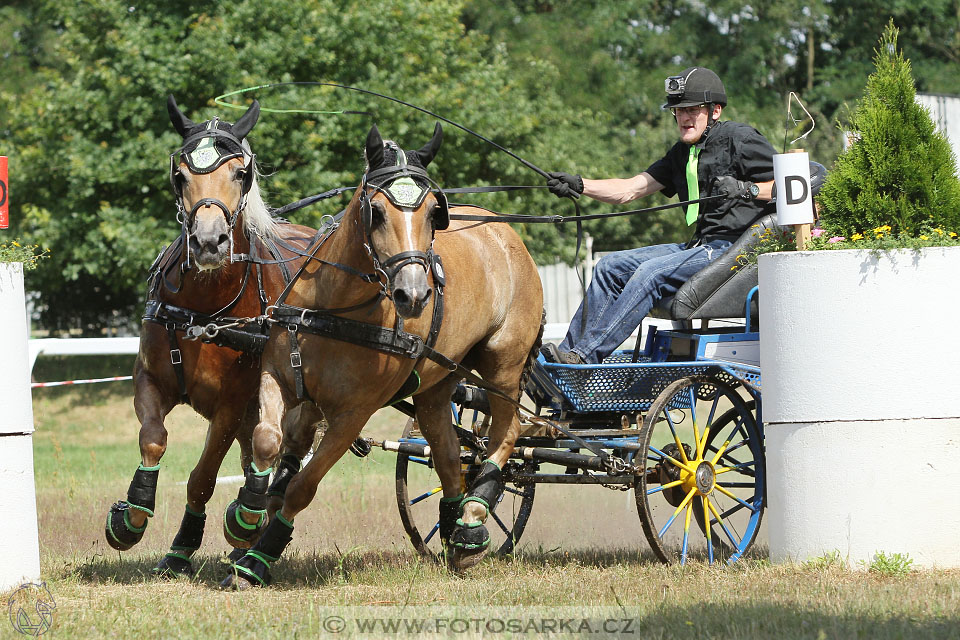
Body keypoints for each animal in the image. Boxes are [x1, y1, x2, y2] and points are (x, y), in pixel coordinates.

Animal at [104, 95, 322, 576]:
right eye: (180, 175)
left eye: (241, 173)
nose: (209, 241)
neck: (205, 309)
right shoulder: (150, 379)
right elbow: (153, 438)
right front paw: (131, 517)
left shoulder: (231, 404)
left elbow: (202, 478)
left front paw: (185, 545)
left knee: (283, 453)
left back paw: (254, 522)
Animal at [220, 122, 544, 588]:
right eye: (375, 211)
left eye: (434, 212)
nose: (414, 294)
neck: (335, 309)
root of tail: (506, 234)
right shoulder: (279, 378)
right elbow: (266, 442)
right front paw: (245, 517)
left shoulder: (352, 415)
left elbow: (302, 487)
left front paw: (258, 559)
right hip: (437, 382)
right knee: (448, 452)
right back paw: (454, 530)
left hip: (503, 364)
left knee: (505, 433)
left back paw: (471, 520)